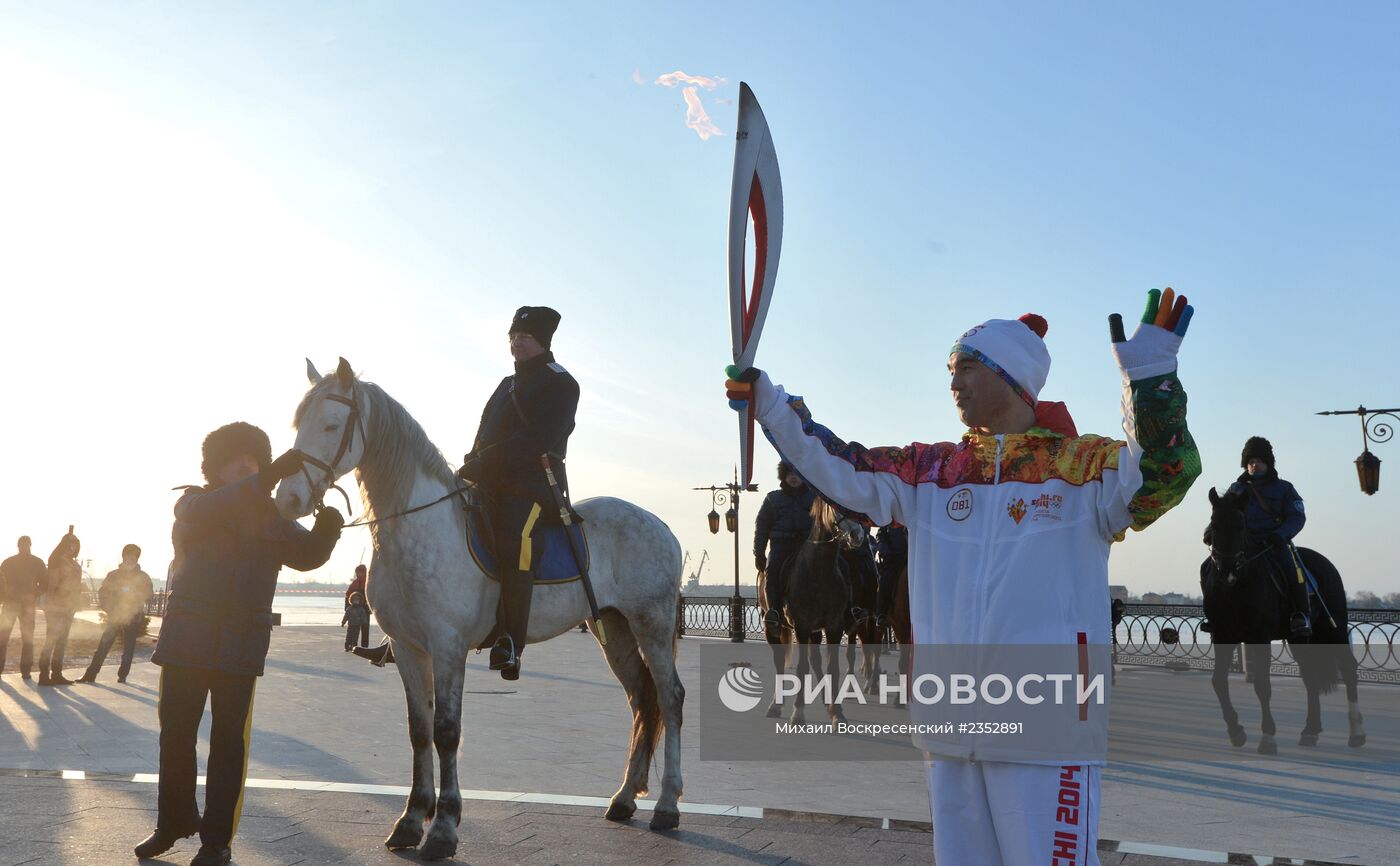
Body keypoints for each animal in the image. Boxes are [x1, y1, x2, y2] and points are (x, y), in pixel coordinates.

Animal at [275, 358, 686, 861]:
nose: (287, 499)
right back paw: (625, 797)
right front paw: (411, 820)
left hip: (652, 623)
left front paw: (443, 828)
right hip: (612, 627)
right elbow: (419, 730)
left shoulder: (448, 647)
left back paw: (667, 804)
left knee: (670, 697)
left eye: (332, 425)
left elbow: (446, 731)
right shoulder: (409, 649)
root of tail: (661, 523)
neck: (416, 527)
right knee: (642, 699)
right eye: (298, 424)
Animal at [761, 498, 856, 721]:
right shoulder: (802, 626)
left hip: (816, 631)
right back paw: (775, 705)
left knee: (815, 661)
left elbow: (832, 667)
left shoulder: (834, 626)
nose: (858, 534)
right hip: (772, 627)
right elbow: (801, 667)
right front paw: (798, 712)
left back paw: (828, 703)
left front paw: (837, 713)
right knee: (780, 662)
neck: (818, 571)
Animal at [1204, 486, 1366, 749]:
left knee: (1349, 669)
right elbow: (1218, 681)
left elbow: (1262, 684)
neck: (1237, 584)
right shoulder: (1222, 635)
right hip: (1298, 637)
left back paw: (1357, 732)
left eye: (1240, 526)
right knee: (1309, 675)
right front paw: (1236, 731)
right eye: (1214, 524)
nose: (1226, 569)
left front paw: (1268, 737)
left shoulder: (1259, 636)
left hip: (1335, 628)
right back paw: (1310, 730)